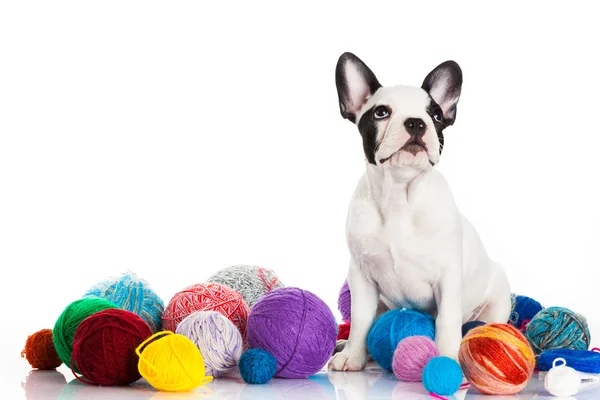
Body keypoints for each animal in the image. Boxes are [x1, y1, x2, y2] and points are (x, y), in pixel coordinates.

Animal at [328, 53, 510, 372]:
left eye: (436, 116)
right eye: (381, 113)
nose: (415, 122)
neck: (400, 196)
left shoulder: (448, 277)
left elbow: (446, 321)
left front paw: (447, 359)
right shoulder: (361, 275)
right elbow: (361, 319)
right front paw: (353, 356)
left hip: (498, 298)